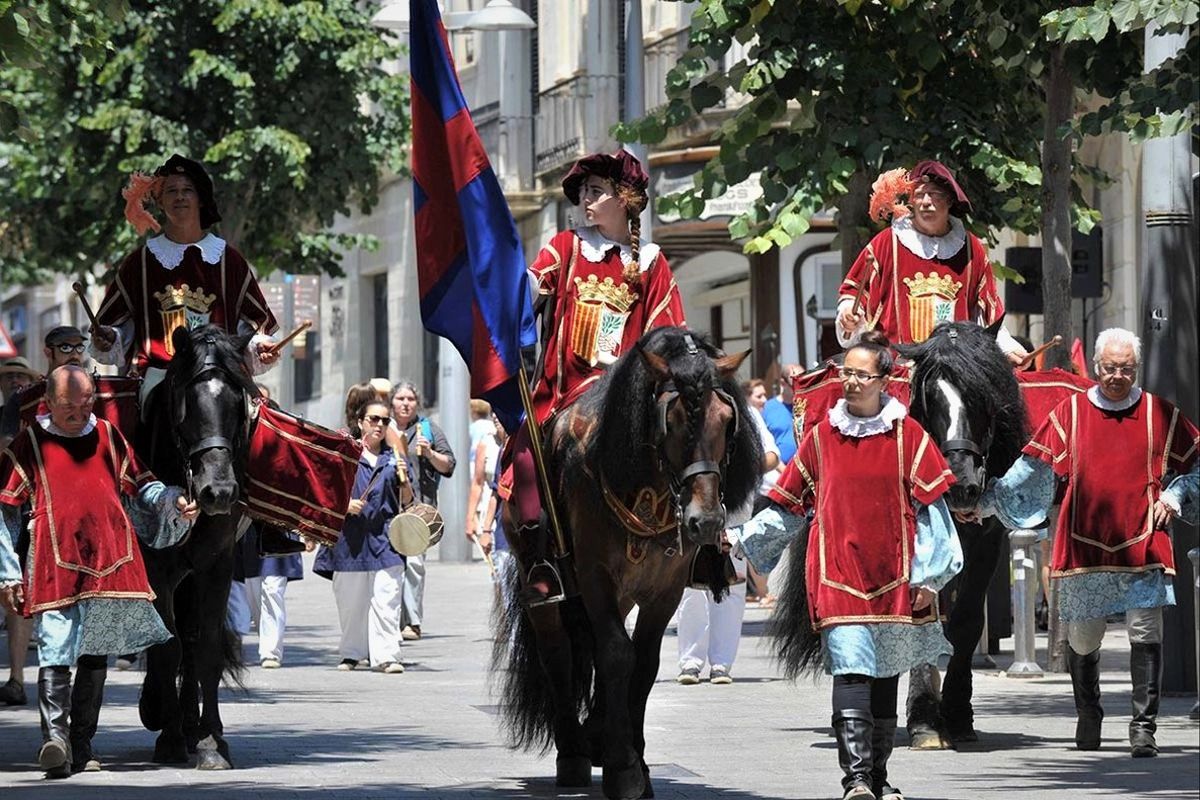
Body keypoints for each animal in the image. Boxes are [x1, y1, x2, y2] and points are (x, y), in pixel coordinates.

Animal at [137, 326, 256, 767]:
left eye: (239, 403)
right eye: (187, 403)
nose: (218, 492)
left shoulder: (215, 565)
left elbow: (203, 647)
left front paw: (210, 740)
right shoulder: (157, 569)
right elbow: (167, 645)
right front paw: (168, 734)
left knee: (190, 639)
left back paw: (189, 724)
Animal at [494, 328, 758, 796]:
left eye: (727, 420)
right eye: (672, 420)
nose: (705, 522)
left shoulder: (664, 588)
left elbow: (643, 662)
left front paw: (637, 759)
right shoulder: (595, 576)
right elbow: (618, 655)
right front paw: (623, 767)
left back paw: (597, 733)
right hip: (538, 577)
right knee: (558, 651)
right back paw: (575, 751)